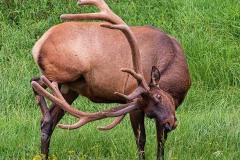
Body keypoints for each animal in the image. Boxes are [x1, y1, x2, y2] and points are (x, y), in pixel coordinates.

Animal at [30, 0, 191, 159]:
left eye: (159, 96)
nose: (170, 124)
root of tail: (37, 45)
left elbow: (161, 142)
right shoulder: (134, 102)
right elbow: (141, 140)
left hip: (70, 88)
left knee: (48, 120)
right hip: (65, 72)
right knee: (36, 82)